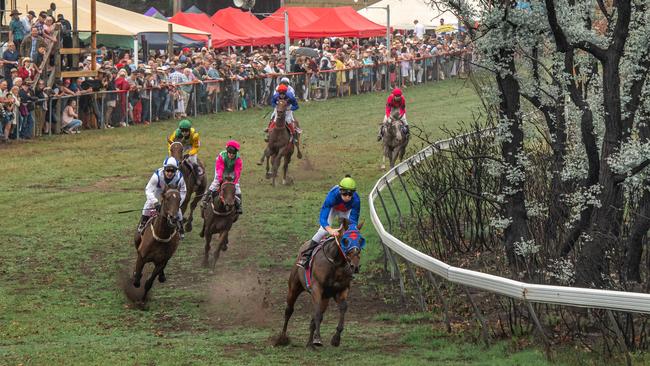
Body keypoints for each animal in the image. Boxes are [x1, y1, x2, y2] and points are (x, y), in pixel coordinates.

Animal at [274, 219, 364, 348]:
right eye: (345, 241)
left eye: (361, 240)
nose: (355, 266)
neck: (336, 263)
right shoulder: (317, 289)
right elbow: (316, 313)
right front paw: (318, 339)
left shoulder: (341, 289)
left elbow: (343, 307)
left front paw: (336, 338)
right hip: (294, 288)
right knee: (289, 310)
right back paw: (282, 338)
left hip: (325, 298)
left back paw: (309, 343)